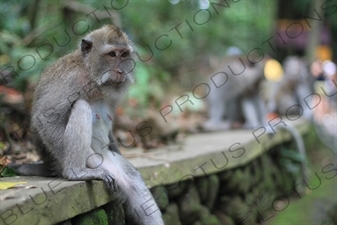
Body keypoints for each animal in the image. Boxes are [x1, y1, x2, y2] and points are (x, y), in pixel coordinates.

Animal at [9, 25, 163, 225]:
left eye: (123, 55)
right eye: (112, 54)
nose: (120, 71)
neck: (92, 75)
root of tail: (48, 165)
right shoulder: (73, 81)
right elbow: (45, 118)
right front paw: (72, 173)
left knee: (134, 183)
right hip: (90, 160)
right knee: (81, 106)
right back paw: (75, 171)